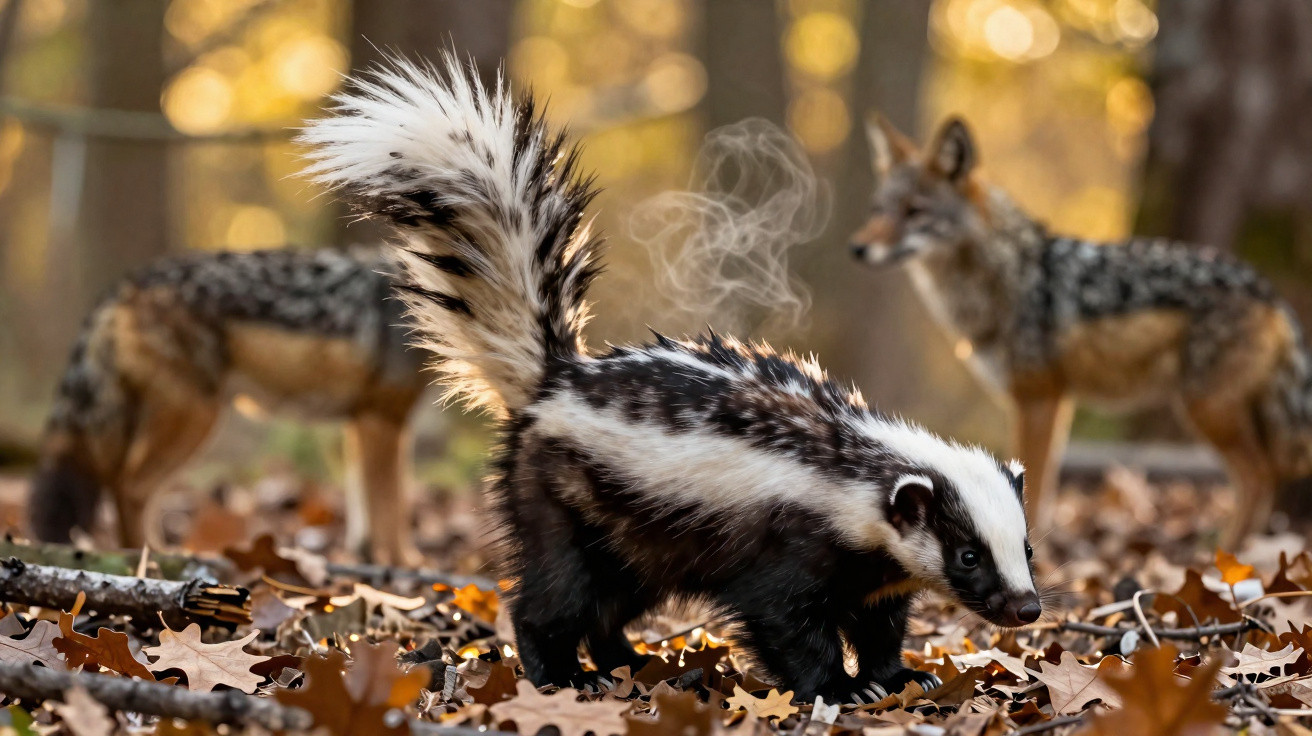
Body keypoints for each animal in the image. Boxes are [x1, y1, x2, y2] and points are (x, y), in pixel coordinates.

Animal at [28, 247, 429, 564]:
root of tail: (123, 286)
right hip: (195, 419)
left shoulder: (362, 423)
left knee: (117, 485)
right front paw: (404, 566)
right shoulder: (383, 421)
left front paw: (370, 558)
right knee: (129, 487)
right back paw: (150, 556)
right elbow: (392, 510)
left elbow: (367, 513)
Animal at [850, 115, 1312, 544]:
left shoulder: (1038, 398)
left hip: (1206, 410)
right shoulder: (1056, 401)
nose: (857, 248)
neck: (1006, 278)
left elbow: (1034, 483)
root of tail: (1267, 289)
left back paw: (1222, 557)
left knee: (1260, 477)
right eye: (877, 210)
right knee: (1264, 477)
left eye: (914, 211)